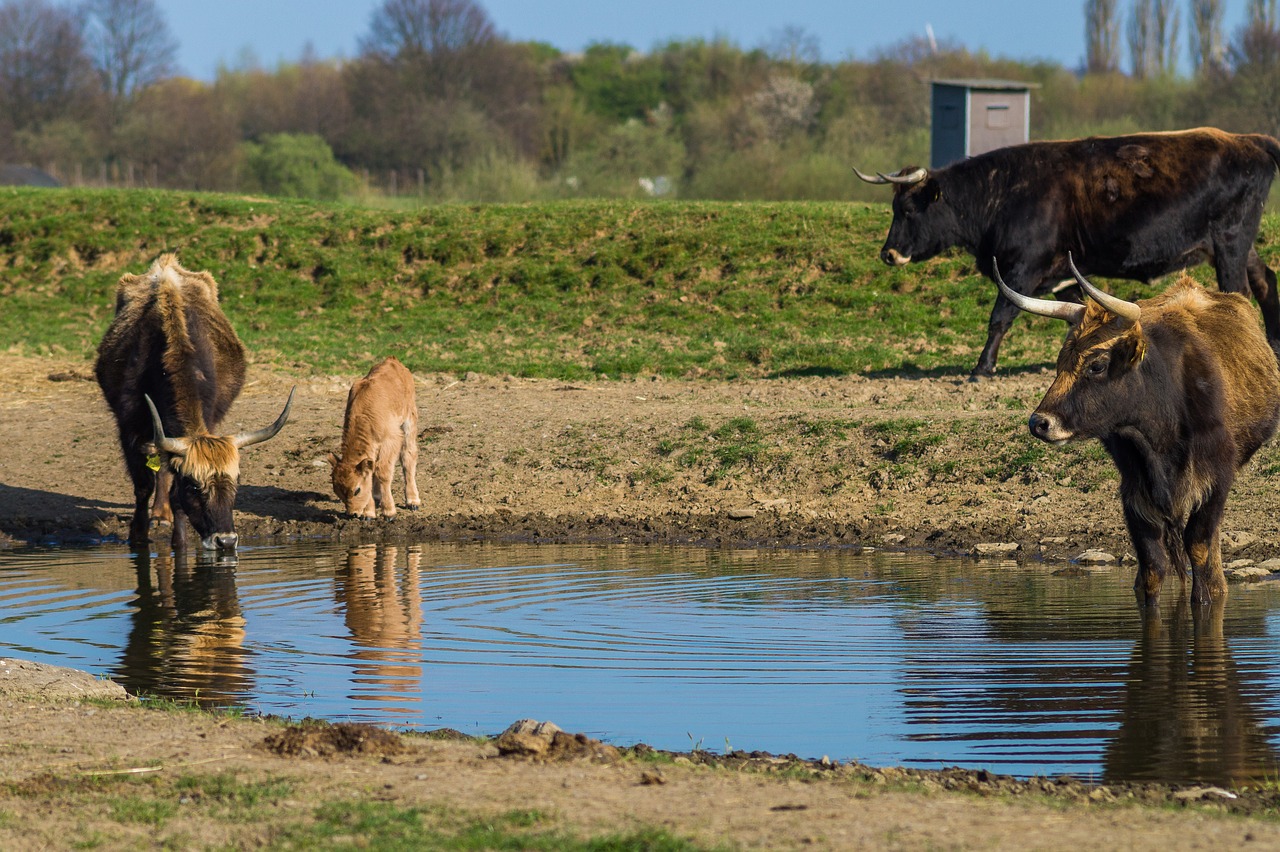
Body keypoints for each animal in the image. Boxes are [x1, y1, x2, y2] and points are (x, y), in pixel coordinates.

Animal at [95, 252, 294, 550]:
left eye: (236, 481)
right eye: (195, 485)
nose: (226, 540)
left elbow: (172, 489)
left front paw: (179, 541)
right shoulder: (129, 428)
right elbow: (143, 484)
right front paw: (138, 536)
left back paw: (162, 515)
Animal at [855, 126, 1280, 376]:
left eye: (908, 210)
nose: (888, 254)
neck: (1002, 194)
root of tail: (1250, 140)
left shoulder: (1021, 269)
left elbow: (1000, 316)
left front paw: (982, 367)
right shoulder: (1065, 276)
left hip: (1230, 241)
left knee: (1240, 291)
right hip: (1237, 245)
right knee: (1265, 282)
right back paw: (1272, 345)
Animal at [998, 253, 1280, 603]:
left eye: (1097, 365)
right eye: (1060, 362)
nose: (1039, 423)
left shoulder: (1216, 477)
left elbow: (1199, 546)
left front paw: (1208, 595)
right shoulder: (1133, 487)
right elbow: (1152, 562)